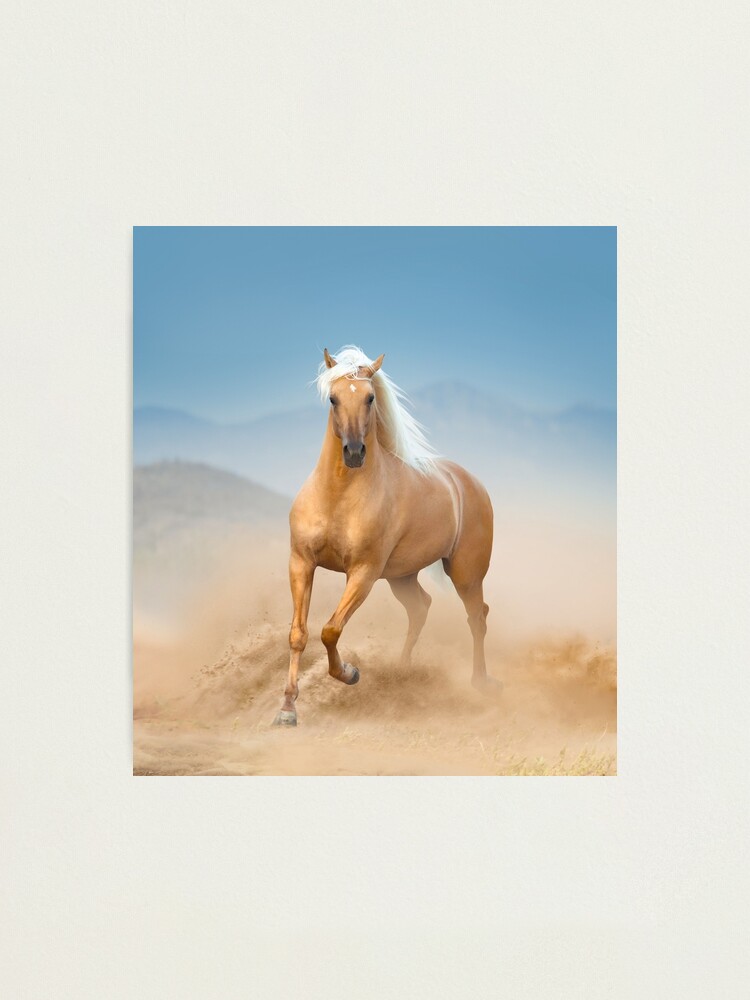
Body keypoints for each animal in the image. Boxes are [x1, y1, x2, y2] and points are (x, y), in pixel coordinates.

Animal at [273, 345, 498, 727]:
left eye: (370, 397)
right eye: (333, 398)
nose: (353, 452)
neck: (337, 497)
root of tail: (470, 483)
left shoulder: (363, 573)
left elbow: (330, 630)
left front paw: (350, 673)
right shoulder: (301, 563)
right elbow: (298, 634)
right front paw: (287, 708)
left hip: (465, 573)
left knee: (476, 617)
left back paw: (480, 683)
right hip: (401, 577)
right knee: (421, 608)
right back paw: (402, 672)